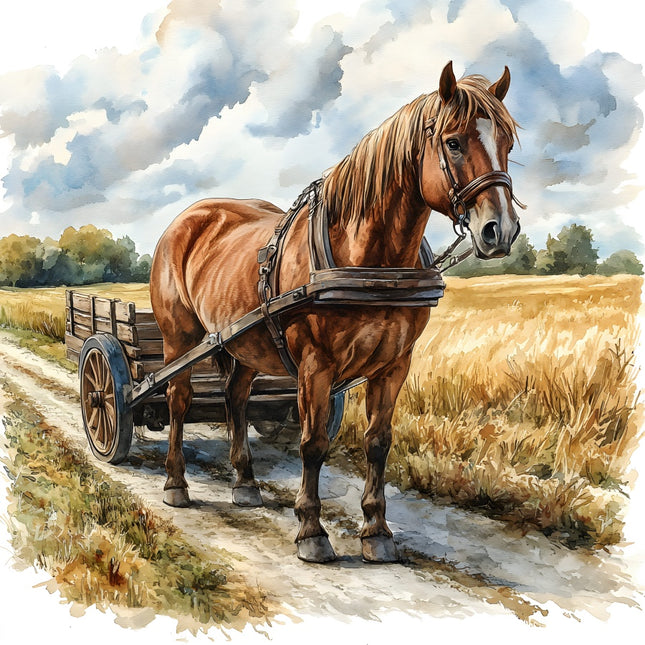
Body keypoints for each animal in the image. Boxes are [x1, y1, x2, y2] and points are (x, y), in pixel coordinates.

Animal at [150, 61, 521, 563]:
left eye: (507, 143)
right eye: (454, 142)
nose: (499, 230)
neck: (371, 263)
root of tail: (187, 219)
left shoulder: (394, 365)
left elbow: (378, 443)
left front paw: (377, 531)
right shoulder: (316, 365)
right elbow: (313, 443)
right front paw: (311, 530)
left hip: (243, 341)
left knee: (236, 399)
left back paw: (245, 483)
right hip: (179, 339)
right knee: (177, 399)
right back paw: (176, 482)